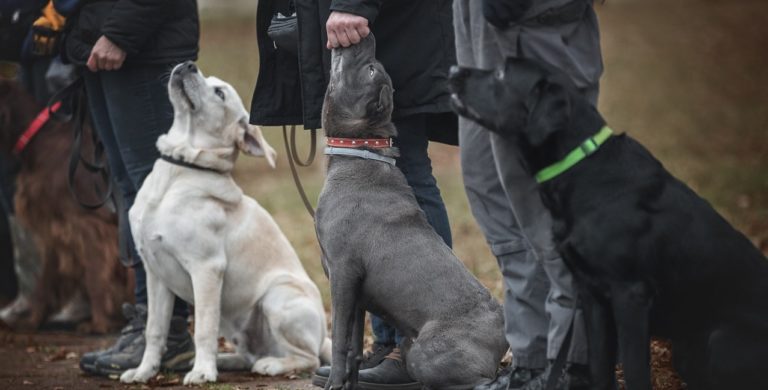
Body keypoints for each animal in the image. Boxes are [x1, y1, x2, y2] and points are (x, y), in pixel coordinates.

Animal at [0, 80, 131, 334]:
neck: (39, 141)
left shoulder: (88, 225)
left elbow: (95, 276)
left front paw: (99, 324)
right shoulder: (55, 228)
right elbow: (44, 282)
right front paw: (31, 321)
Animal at [120, 62, 330, 386]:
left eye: (219, 93)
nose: (188, 65)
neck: (178, 171)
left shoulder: (207, 268)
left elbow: (203, 329)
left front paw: (202, 372)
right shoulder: (155, 272)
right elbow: (154, 330)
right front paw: (144, 372)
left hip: (278, 297)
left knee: (309, 358)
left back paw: (271, 364)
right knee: (250, 355)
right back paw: (227, 360)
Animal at [316, 35, 508, 388]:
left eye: (370, 68)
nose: (365, 36)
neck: (360, 153)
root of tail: (502, 342)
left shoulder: (343, 275)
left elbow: (338, 343)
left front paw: (334, 381)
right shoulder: (358, 294)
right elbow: (353, 349)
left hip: (421, 353)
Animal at [448, 58, 768, 390]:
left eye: (501, 73)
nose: (452, 70)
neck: (581, 165)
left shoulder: (630, 295)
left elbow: (635, 370)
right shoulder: (593, 296)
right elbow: (600, 365)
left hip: (720, 341)